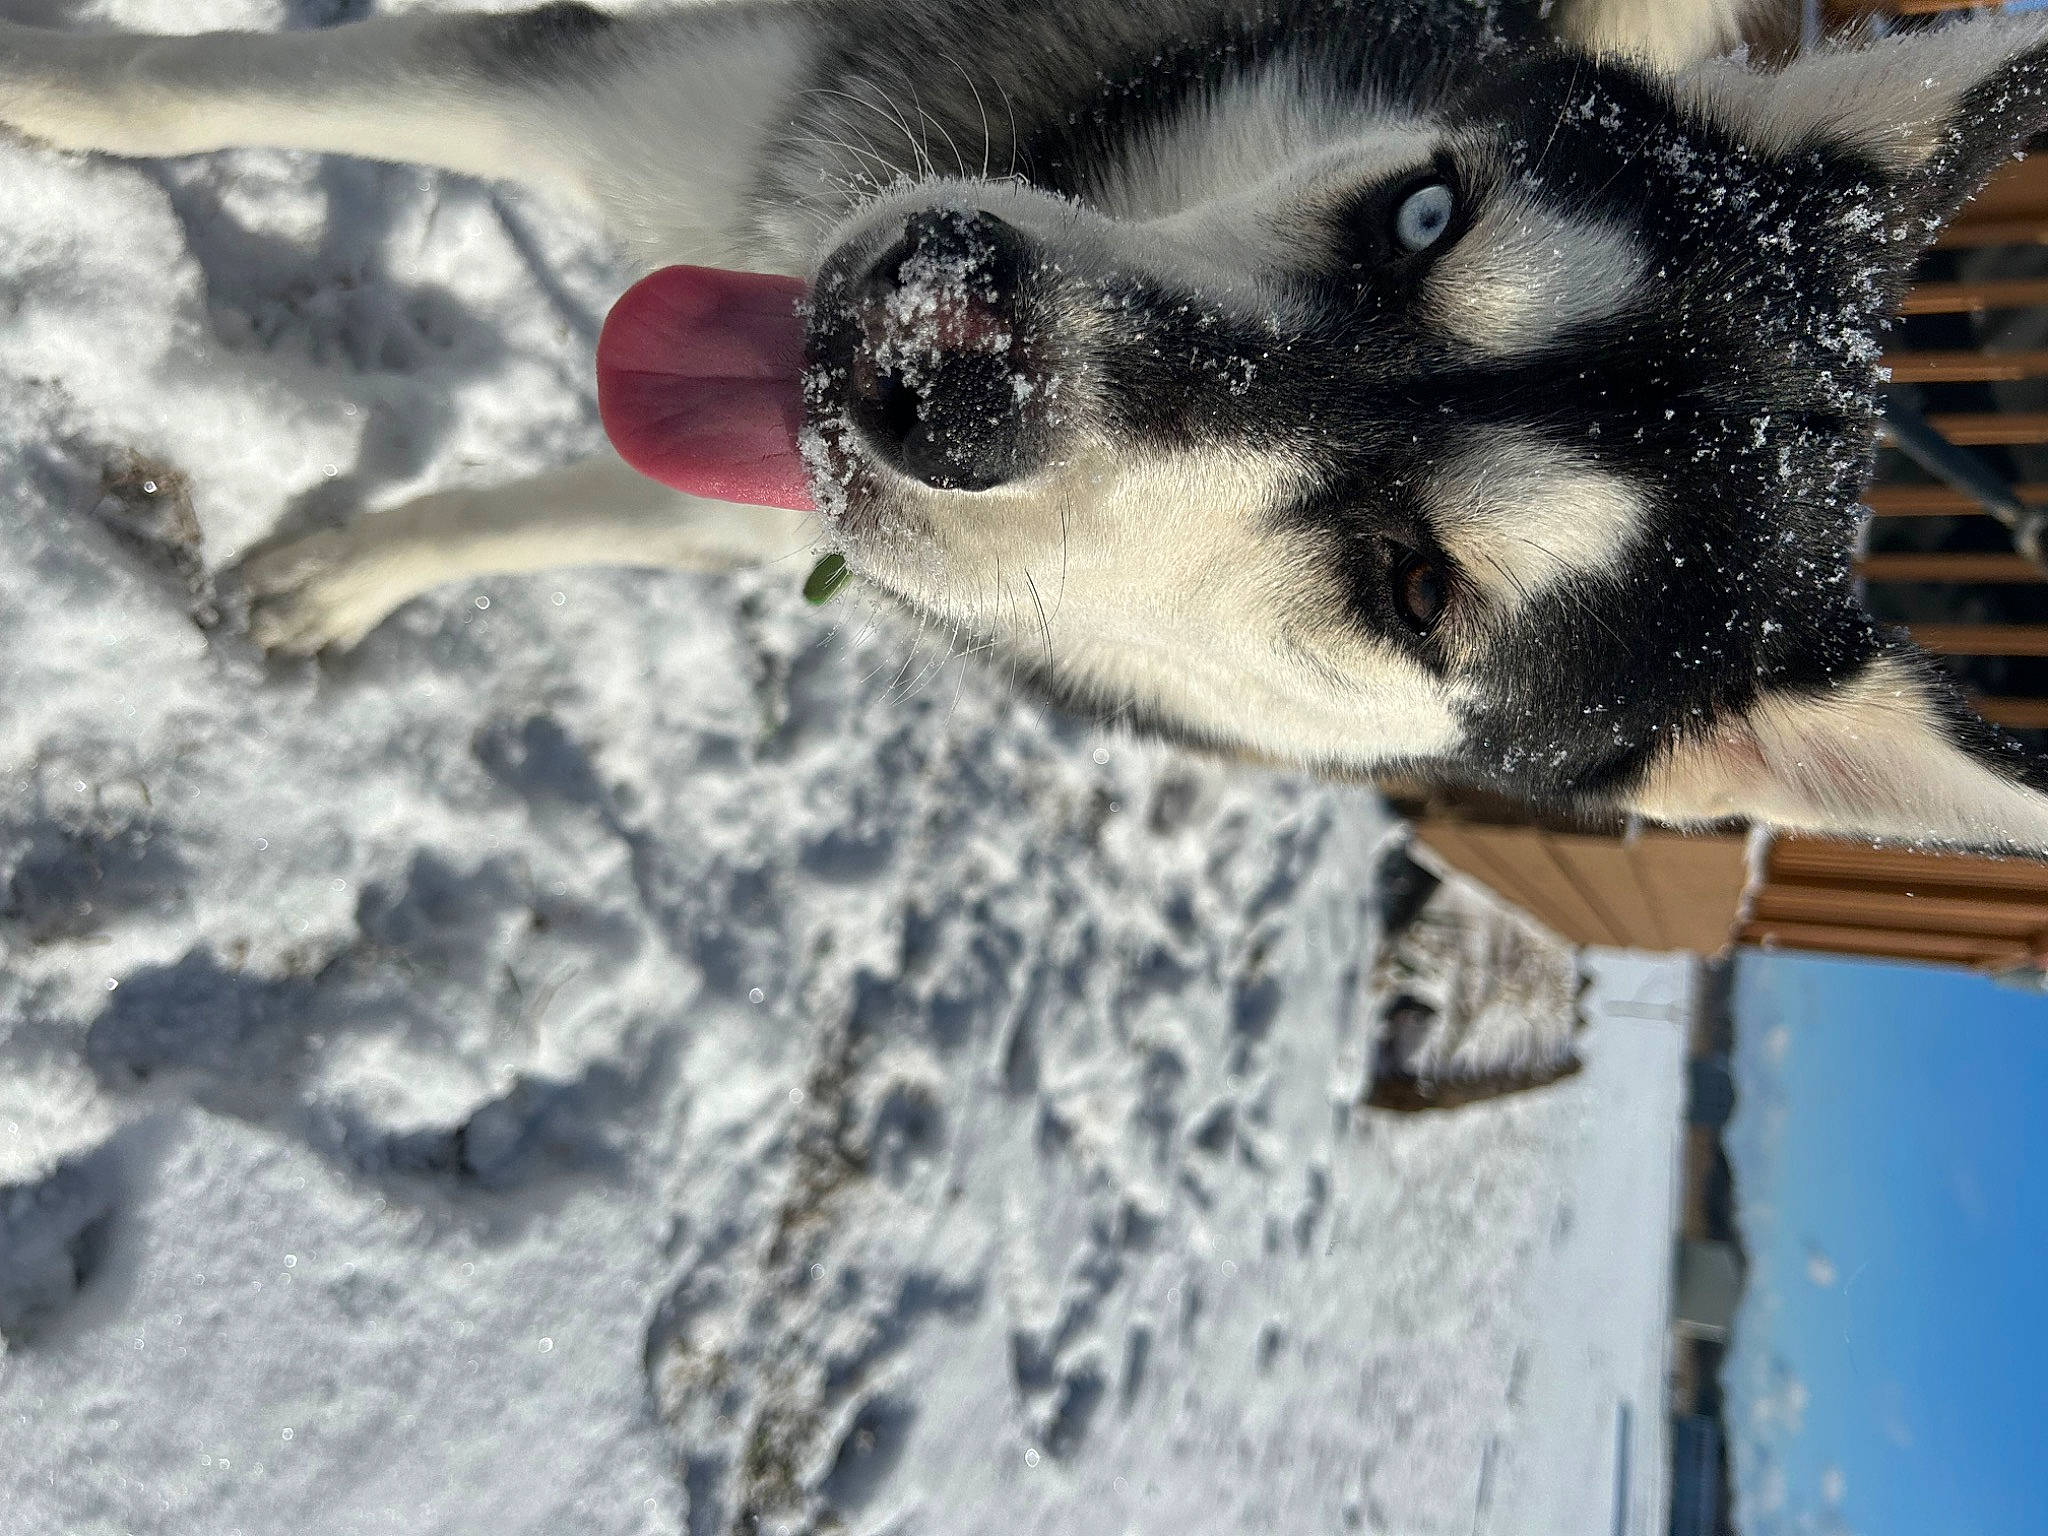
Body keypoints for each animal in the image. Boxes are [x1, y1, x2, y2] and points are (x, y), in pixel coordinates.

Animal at [5, 0, 2048, 853]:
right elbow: (176, 88)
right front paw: (48, 80)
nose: (937, 346)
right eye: (1423, 216)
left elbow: (567, 509)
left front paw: (351, 577)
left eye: (1415, 590)